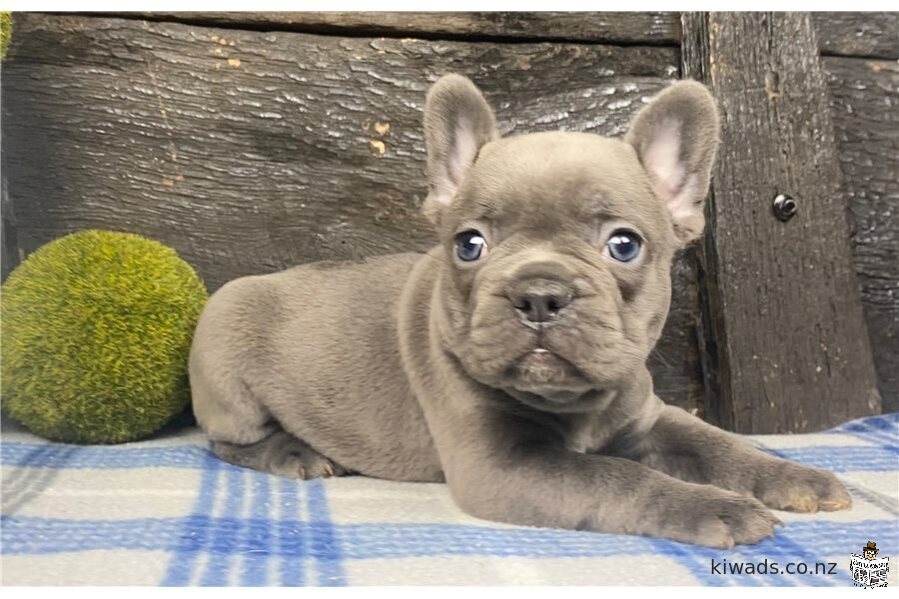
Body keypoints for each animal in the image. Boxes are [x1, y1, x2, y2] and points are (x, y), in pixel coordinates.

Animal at [190, 74, 852, 548]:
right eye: (469, 244)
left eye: (624, 244)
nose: (539, 292)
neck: (575, 403)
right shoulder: (504, 467)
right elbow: (618, 477)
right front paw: (713, 506)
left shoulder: (648, 420)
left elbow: (716, 444)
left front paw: (794, 477)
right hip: (229, 378)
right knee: (225, 443)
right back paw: (294, 452)